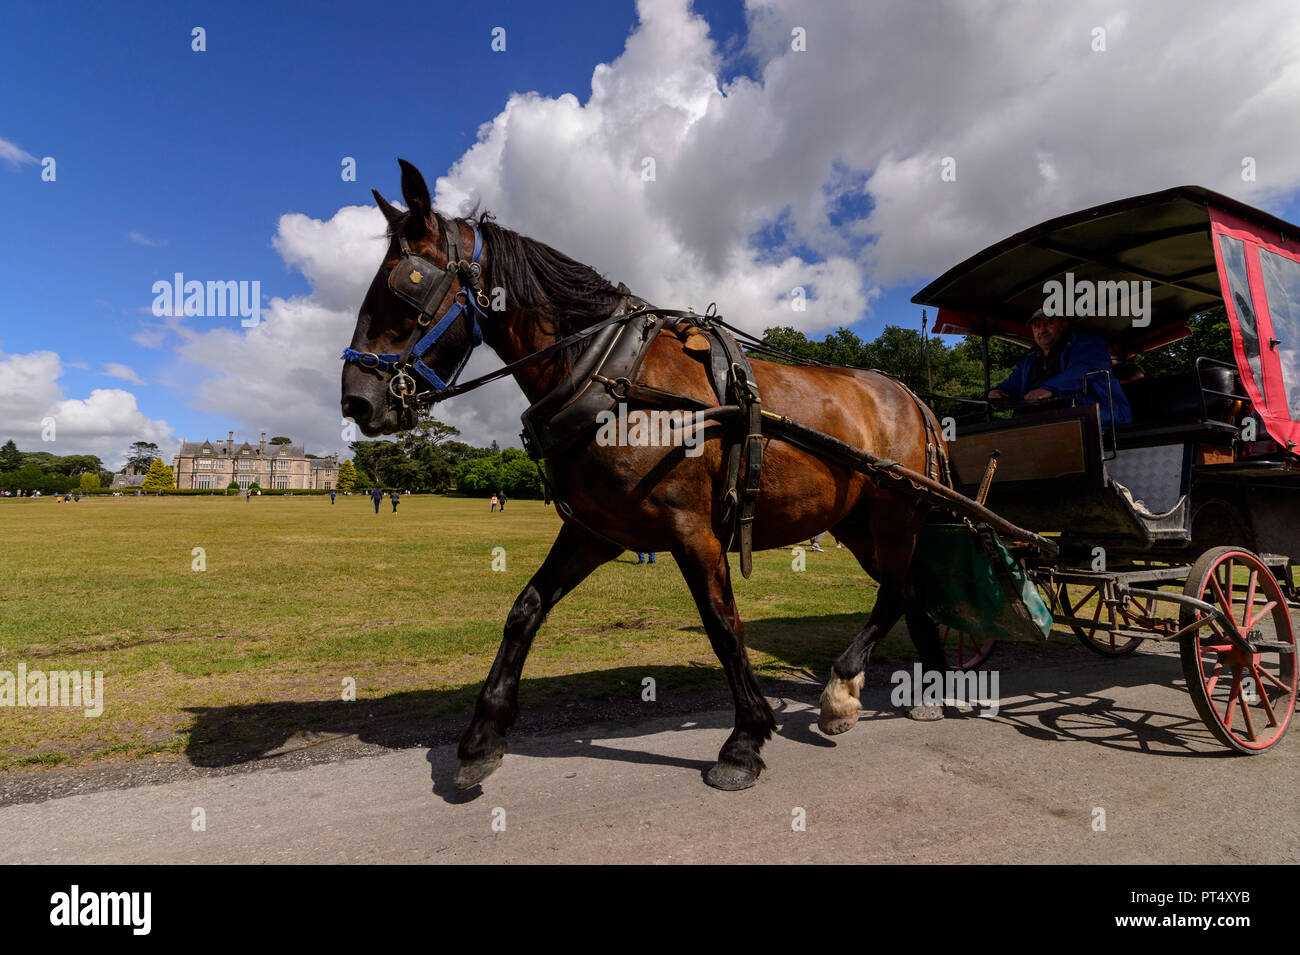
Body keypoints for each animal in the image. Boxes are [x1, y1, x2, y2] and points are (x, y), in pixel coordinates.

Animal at [340, 162, 951, 789]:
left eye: (406, 285)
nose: (357, 401)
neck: (609, 376)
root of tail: (912, 396)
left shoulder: (693, 532)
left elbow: (723, 625)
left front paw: (745, 740)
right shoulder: (595, 532)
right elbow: (524, 611)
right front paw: (482, 738)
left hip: (894, 514)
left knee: (895, 589)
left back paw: (843, 689)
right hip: (857, 523)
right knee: (905, 588)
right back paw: (923, 687)